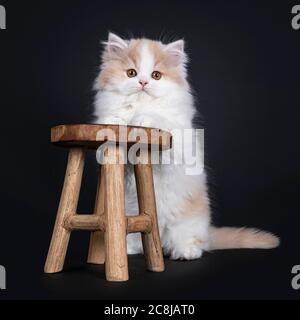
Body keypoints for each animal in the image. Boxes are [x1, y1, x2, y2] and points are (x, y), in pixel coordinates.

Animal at [93, 32, 278, 260]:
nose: (143, 82)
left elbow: (156, 119)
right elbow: (113, 121)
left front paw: (143, 119)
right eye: (131, 73)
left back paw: (185, 252)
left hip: (188, 223)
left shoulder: (176, 144)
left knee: (193, 242)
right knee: (138, 238)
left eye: (156, 75)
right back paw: (129, 248)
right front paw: (117, 122)